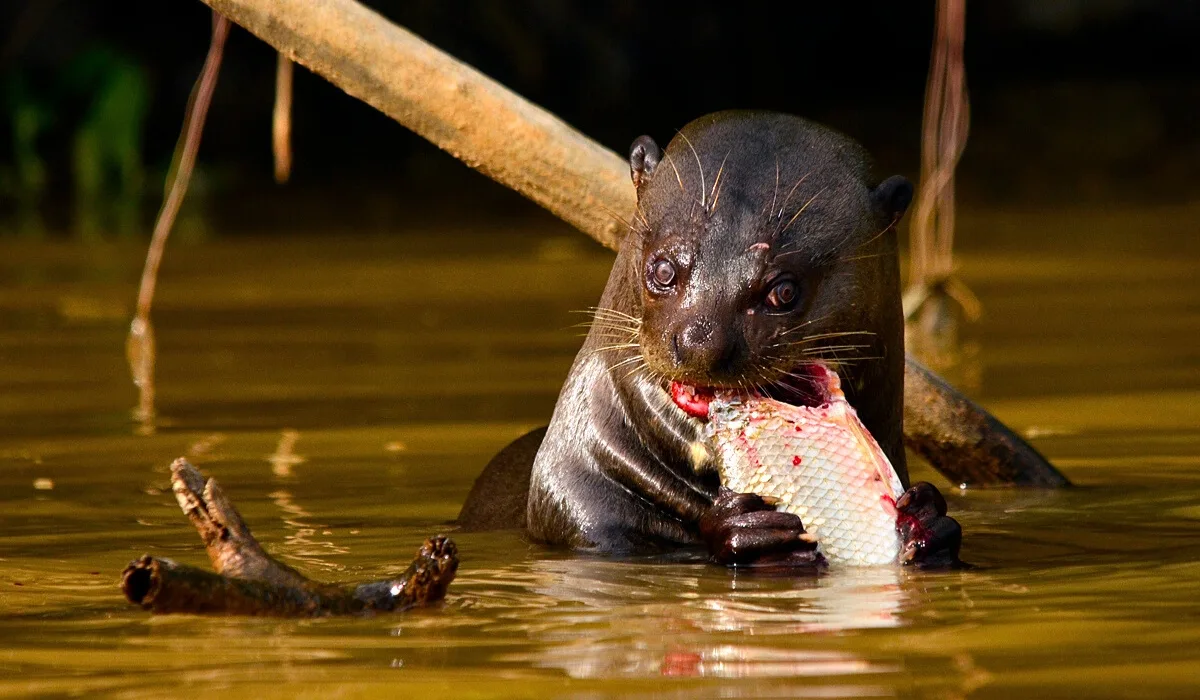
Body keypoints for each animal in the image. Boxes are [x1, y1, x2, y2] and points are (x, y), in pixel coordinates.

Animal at [460, 111, 1048, 567]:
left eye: (783, 289)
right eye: (663, 269)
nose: (700, 341)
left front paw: (930, 518)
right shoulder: (581, 516)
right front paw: (742, 529)